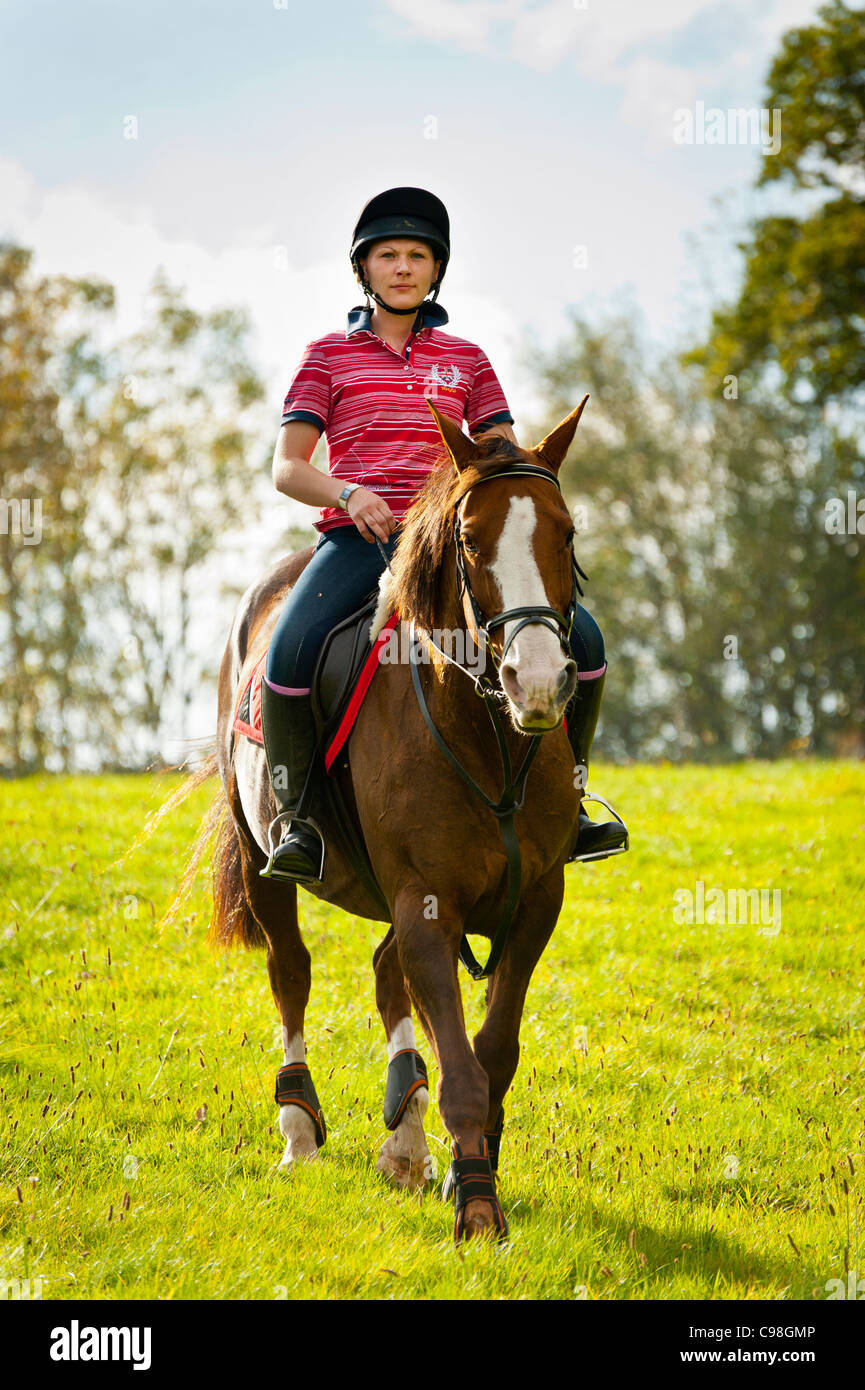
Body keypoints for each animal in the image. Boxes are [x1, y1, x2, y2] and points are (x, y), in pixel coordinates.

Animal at [208, 397, 590, 1240]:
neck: (484, 738)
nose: (537, 680)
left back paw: (406, 1144)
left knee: (385, 978)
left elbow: (491, 1052)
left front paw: (459, 1174)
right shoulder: (425, 903)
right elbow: (463, 1068)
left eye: (567, 532)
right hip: (262, 863)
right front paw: (476, 1207)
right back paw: (298, 1131)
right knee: (291, 973)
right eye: (471, 539)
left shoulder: (535, 903)